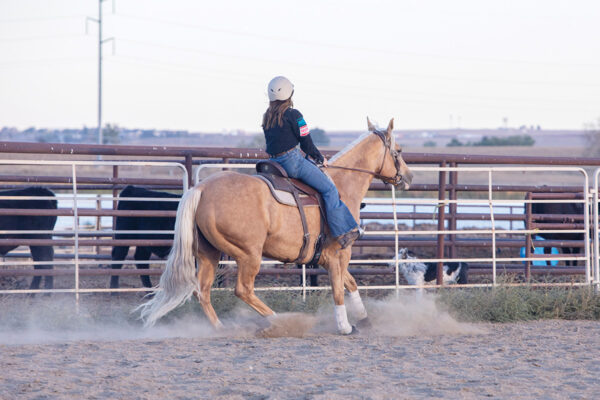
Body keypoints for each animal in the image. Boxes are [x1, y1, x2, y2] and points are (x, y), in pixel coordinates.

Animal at [139, 118, 412, 334]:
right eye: (398, 151)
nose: (409, 177)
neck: (342, 185)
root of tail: (201, 188)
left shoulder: (329, 257)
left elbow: (351, 283)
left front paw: (364, 320)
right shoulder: (339, 253)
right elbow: (338, 289)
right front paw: (345, 327)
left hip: (209, 253)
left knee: (202, 291)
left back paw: (221, 328)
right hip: (249, 254)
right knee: (243, 290)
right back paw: (281, 321)